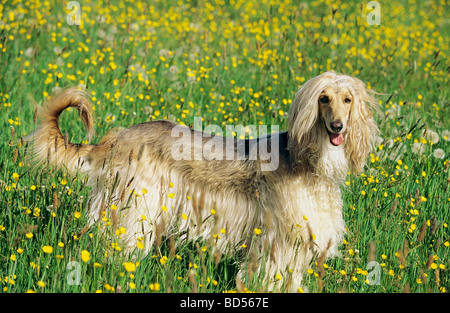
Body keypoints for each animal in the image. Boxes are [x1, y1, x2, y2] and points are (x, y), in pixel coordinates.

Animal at [29, 70, 378, 290]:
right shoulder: (277, 240)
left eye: (347, 100)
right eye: (323, 98)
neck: (308, 163)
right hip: (132, 210)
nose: (337, 127)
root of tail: (117, 138)